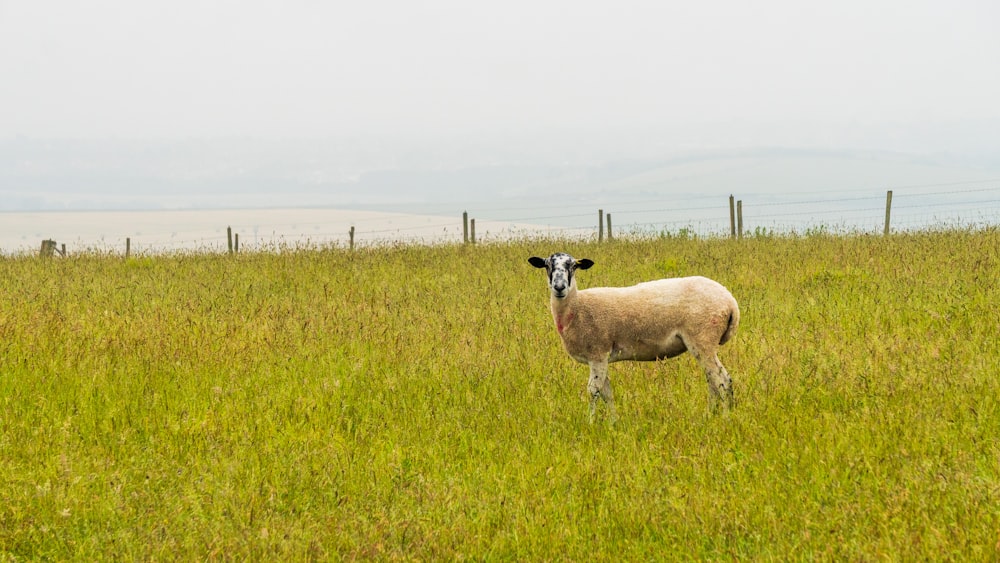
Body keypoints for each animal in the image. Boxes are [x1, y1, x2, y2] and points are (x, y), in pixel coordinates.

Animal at [528, 253, 740, 420]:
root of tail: (730, 302)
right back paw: (711, 415)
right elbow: (607, 393)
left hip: (703, 338)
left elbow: (593, 391)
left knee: (722, 381)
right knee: (714, 381)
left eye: (573, 265)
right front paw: (613, 423)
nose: (559, 287)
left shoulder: (597, 353)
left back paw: (725, 418)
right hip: (703, 343)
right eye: (547, 265)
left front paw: (591, 423)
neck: (576, 308)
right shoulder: (600, 358)